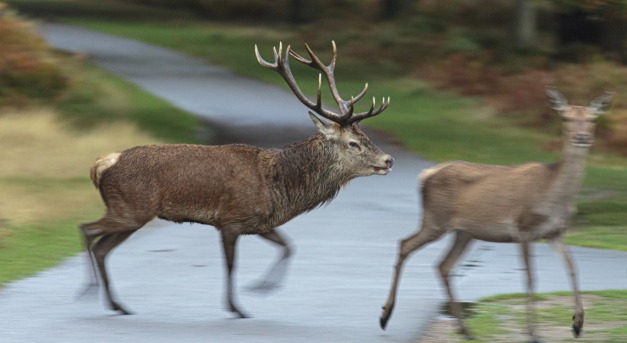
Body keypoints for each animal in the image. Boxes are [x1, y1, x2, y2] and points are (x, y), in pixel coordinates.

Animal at [78, 41, 392, 318]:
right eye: (353, 143)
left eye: (366, 136)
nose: (388, 160)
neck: (279, 187)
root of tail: (104, 163)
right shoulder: (230, 220)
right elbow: (231, 266)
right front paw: (236, 307)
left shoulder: (261, 222)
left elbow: (288, 247)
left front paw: (262, 287)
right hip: (131, 208)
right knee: (88, 230)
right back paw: (89, 291)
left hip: (132, 213)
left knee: (103, 248)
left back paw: (117, 305)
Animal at [378, 88, 612, 343]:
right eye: (565, 118)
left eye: (592, 119)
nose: (582, 137)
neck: (553, 196)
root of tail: (426, 174)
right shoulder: (523, 227)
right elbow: (530, 277)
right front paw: (532, 332)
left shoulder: (555, 233)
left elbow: (573, 268)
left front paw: (577, 324)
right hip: (435, 220)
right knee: (406, 244)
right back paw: (385, 316)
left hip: (464, 232)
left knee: (443, 265)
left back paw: (465, 330)